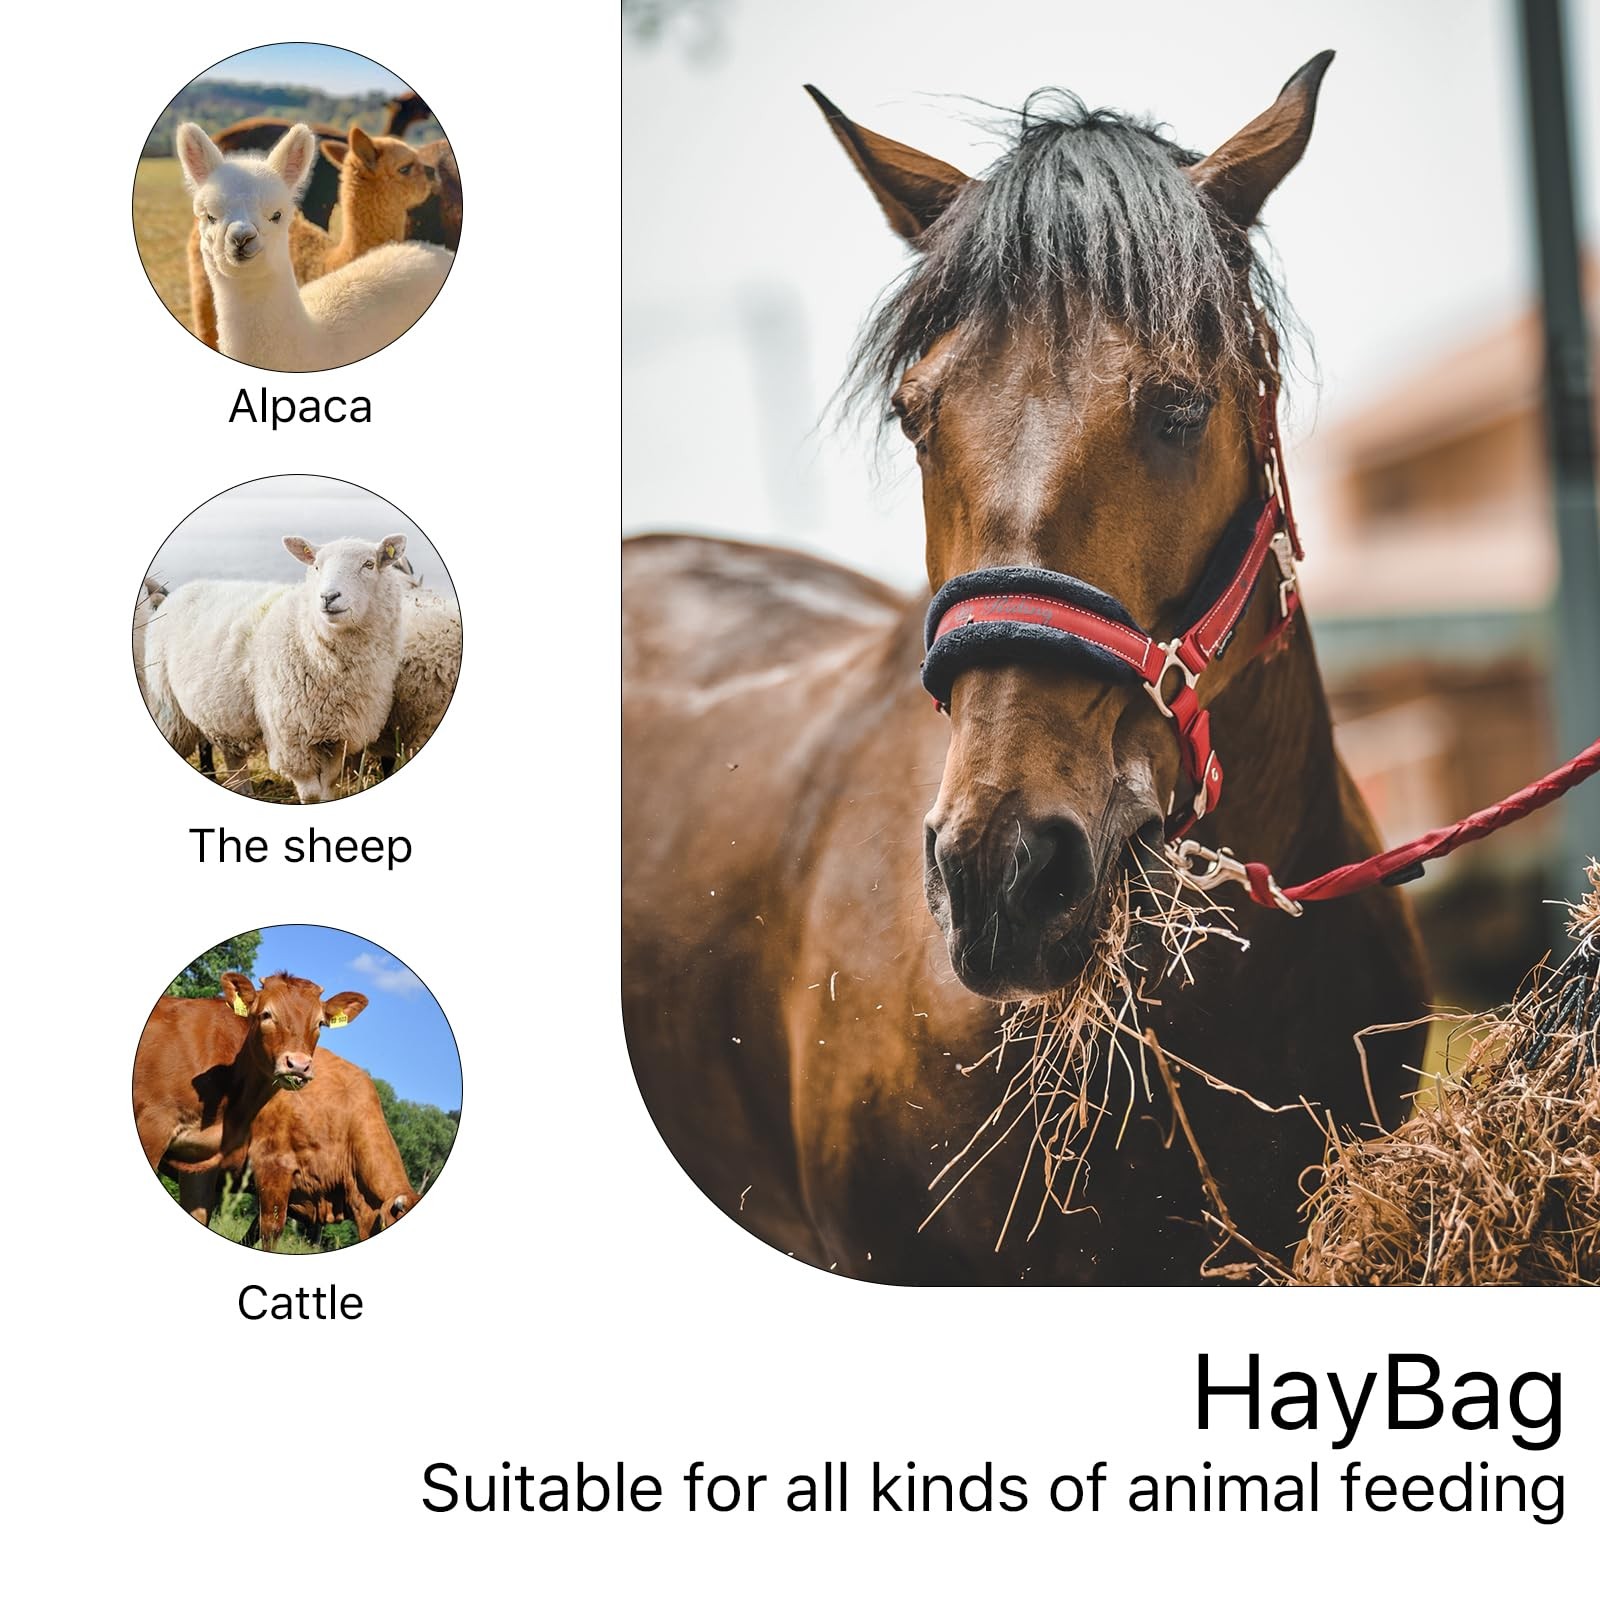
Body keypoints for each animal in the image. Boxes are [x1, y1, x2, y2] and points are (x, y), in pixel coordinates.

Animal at [142, 535, 411, 802]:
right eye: (316, 566)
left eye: (369, 564)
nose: (328, 597)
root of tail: (179, 592)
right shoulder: (292, 738)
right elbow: (311, 794)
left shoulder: (337, 736)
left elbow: (328, 787)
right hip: (169, 709)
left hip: (222, 715)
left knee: (233, 758)